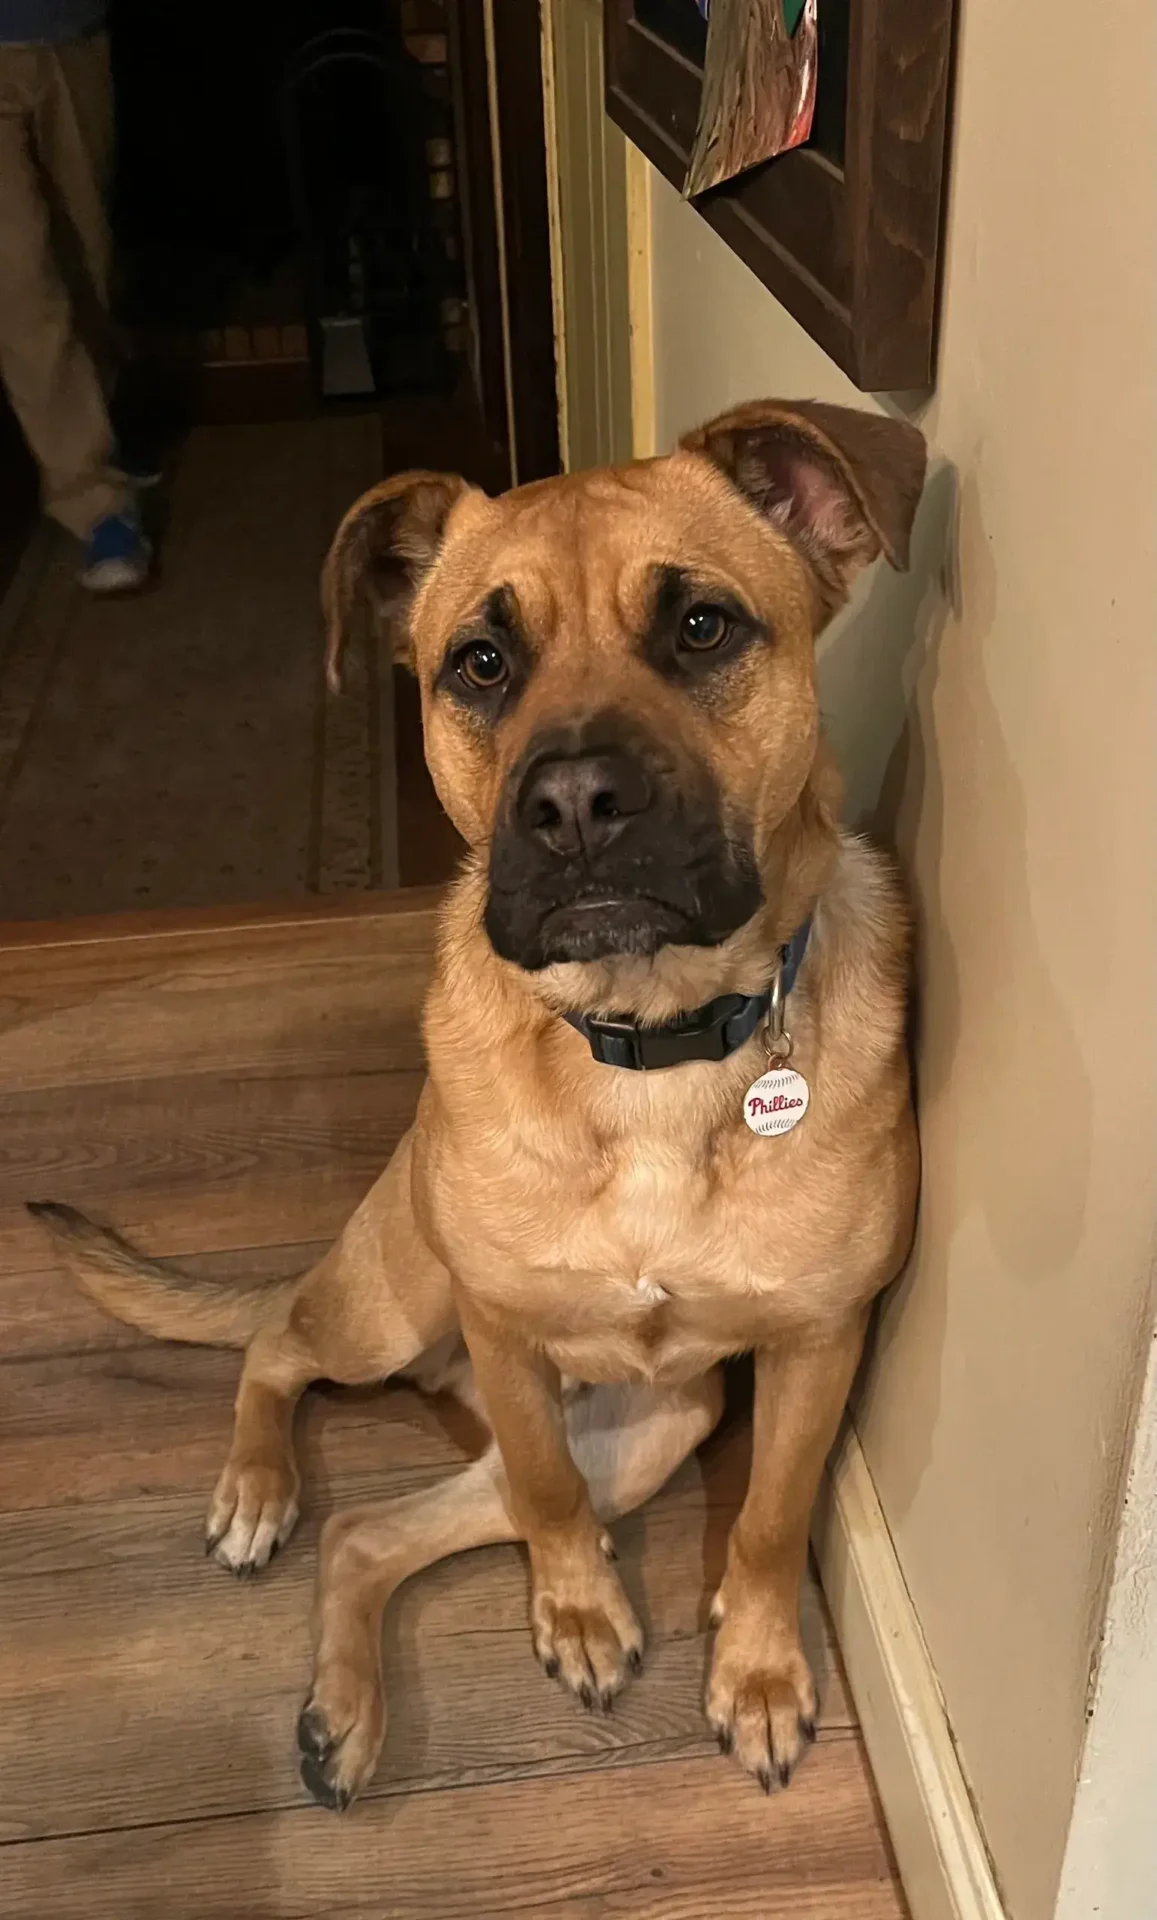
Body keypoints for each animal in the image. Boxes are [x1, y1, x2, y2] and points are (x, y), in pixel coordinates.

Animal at [31, 393, 928, 1812]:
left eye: (700, 627)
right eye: (480, 664)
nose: (571, 805)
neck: (647, 1043)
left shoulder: (813, 1345)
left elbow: (770, 1520)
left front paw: (759, 1671)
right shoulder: (506, 1333)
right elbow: (552, 1500)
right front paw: (576, 1610)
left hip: (659, 1425)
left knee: (366, 1531)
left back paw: (343, 1716)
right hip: (396, 1306)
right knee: (279, 1342)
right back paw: (258, 1491)